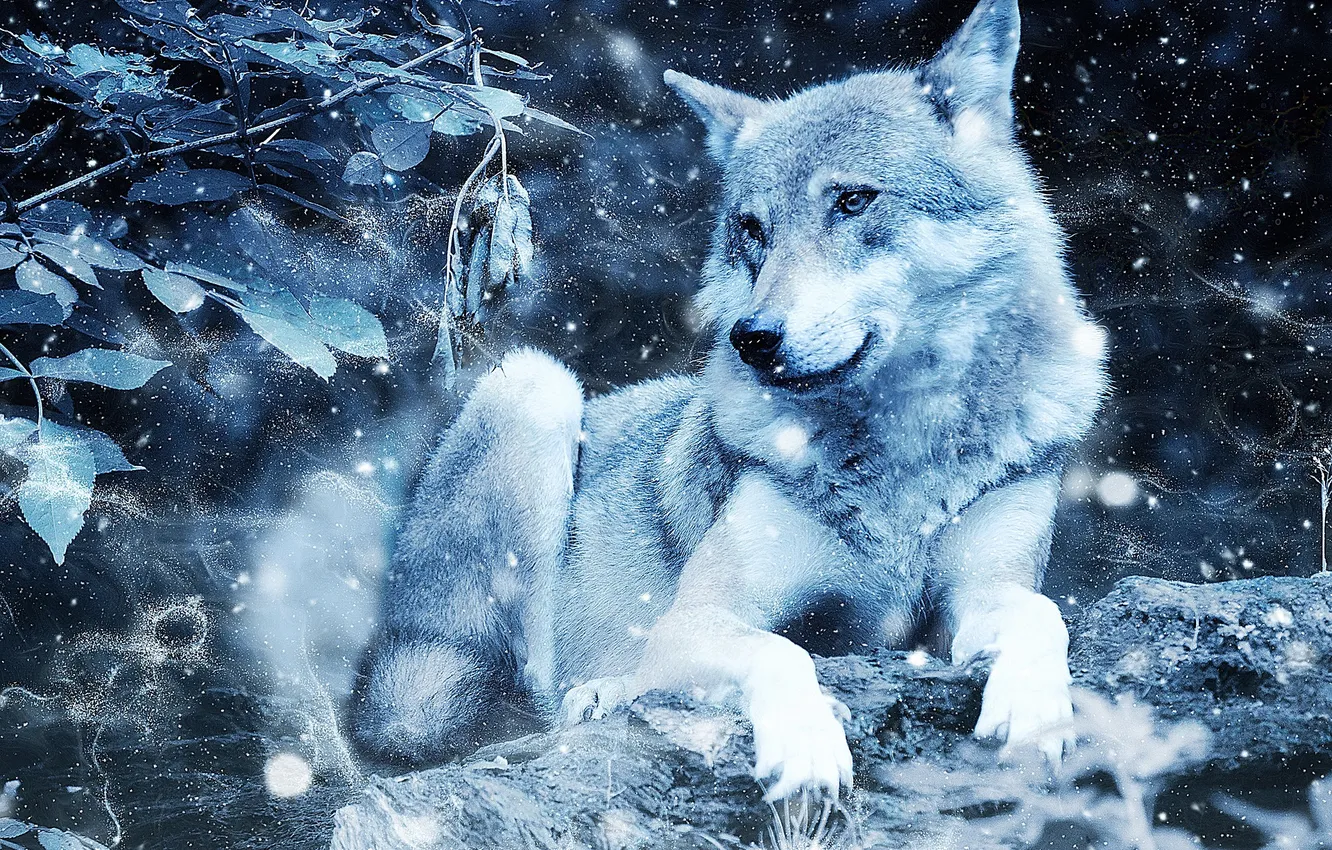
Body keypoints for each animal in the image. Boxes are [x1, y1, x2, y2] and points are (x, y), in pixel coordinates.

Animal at [349, 0, 1108, 800]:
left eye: (852, 200)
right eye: (753, 228)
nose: (754, 337)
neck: (898, 452)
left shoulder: (976, 598)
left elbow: (1042, 614)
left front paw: (1037, 709)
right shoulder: (694, 620)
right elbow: (784, 652)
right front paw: (807, 745)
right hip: (534, 384)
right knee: (523, 701)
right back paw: (603, 693)